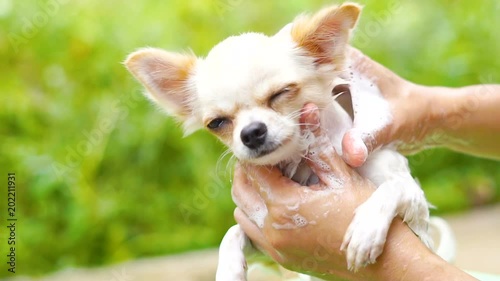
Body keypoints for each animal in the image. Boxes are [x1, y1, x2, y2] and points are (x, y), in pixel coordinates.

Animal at [124, 2, 454, 280]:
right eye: (217, 123)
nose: (251, 132)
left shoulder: (417, 213)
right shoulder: (265, 238)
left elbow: (392, 187)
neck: (301, 162)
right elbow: (231, 233)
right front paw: (228, 270)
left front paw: (366, 229)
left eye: (281, 93)